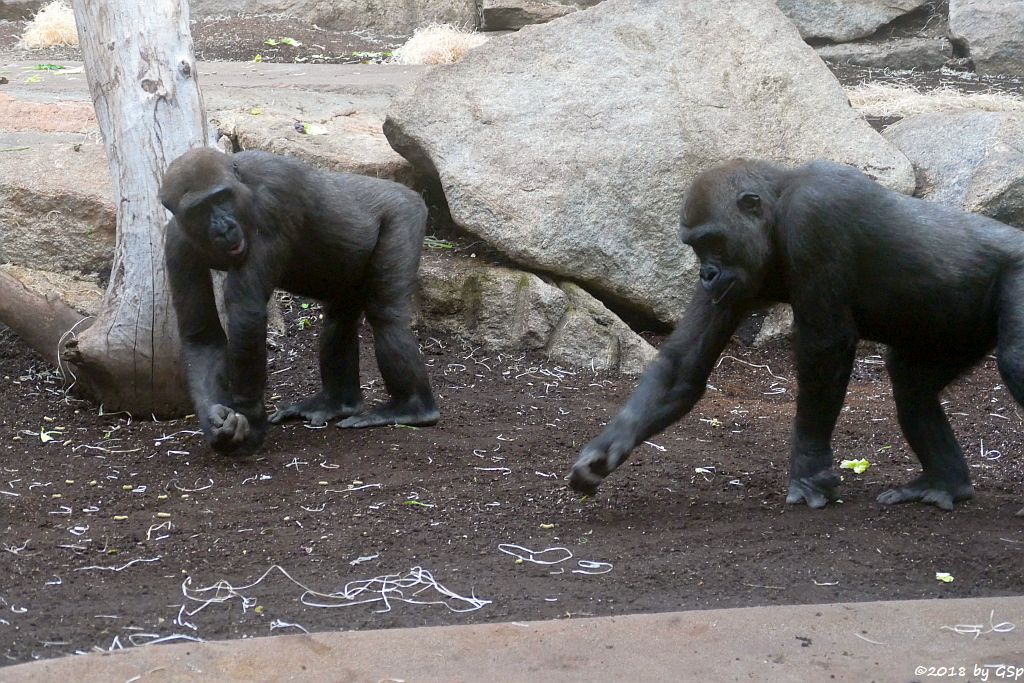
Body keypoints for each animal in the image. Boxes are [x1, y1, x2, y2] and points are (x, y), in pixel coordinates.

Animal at [158, 149, 436, 458]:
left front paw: (249, 421)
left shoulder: (271, 203)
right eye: (199, 210)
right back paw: (338, 402)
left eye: (221, 198)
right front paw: (214, 421)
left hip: (404, 214)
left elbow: (247, 314)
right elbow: (201, 335)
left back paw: (412, 408)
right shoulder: (176, 242)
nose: (223, 227)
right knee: (339, 319)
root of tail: (409, 192)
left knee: (386, 316)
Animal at [569, 160, 1024, 509]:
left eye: (712, 240)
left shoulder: (813, 218)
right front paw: (607, 450)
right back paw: (945, 483)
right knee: (912, 383)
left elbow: (826, 346)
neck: (778, 201)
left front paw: (809, 468)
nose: (706, 274)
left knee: (1014, 363)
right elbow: (683, 367)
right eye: (695, 246)